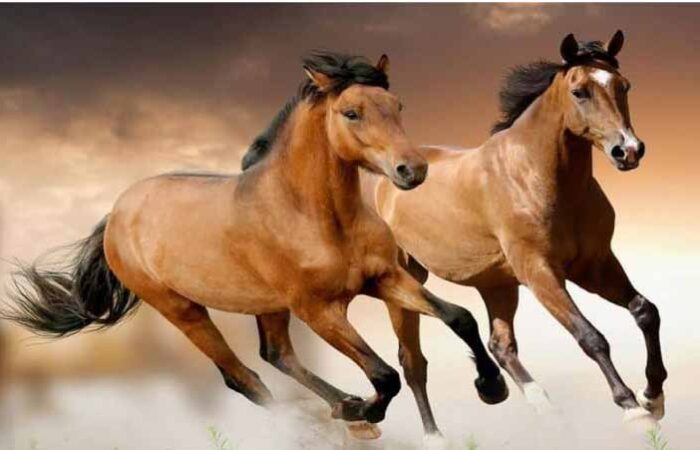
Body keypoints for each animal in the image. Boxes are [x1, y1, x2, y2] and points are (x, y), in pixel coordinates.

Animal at [2, 52, 506, 442]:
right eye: (351, 112)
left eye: (396, 105)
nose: (412, 170)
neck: (317, 216)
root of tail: (116, 214)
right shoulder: (318, 309)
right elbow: (385, 374)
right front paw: (363, 410)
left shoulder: (385, 278)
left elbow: (459, 318)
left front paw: (492, 387)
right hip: (182, 309)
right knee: (243, 377)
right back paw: (332, 421)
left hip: (267, 305)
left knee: (276, 355)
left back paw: (342, 409)